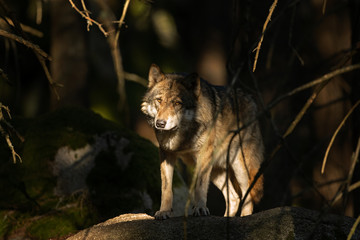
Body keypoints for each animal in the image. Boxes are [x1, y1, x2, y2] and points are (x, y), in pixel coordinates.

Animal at [141, 63, 264, 219]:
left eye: (177, 103)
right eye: (159, 100)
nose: (160, 123)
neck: (182, 135)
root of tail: (251, 100)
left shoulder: (203, 155)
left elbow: (200, 186)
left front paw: (200, 209)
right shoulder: (166, 154)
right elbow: (166, 188)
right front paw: (164, 211)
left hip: (238, 165)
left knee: (247, 193)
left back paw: (244, 218)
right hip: (217, 170)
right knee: (234, 197)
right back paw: (226, 218)